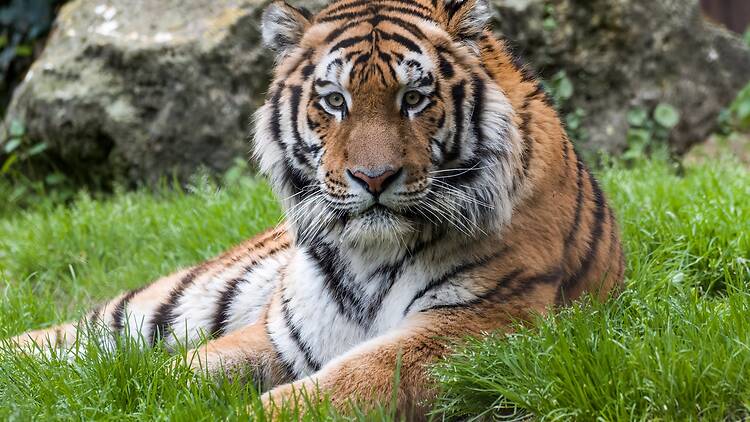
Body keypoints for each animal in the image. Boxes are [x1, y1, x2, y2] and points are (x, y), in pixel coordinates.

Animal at [8, 0, 625, 418]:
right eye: (334, 101)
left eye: (414, 99)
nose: (373, 178)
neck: (370, 257)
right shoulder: (277, 336)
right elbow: (177, 373)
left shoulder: (474, 326)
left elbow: (336, 388)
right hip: (176, 300)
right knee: (69, 338)